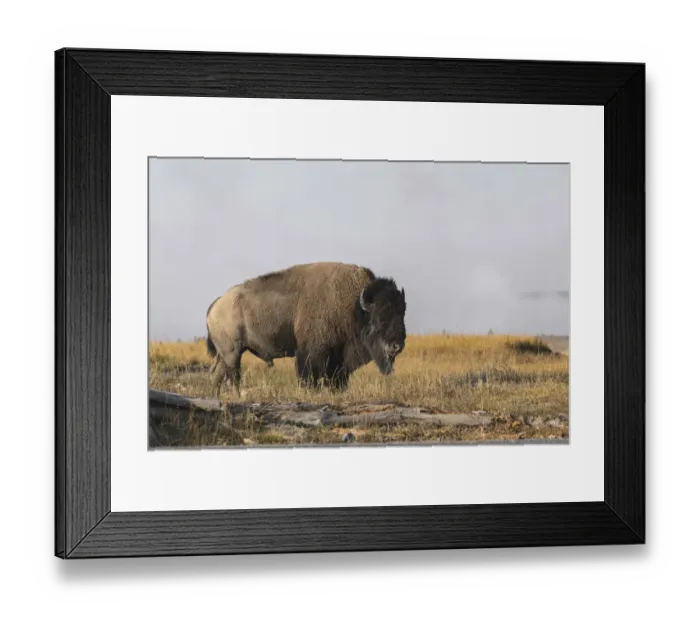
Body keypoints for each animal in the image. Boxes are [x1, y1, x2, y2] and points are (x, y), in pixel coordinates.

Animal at [205, 262, 407, 397]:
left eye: (402, 313)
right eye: (380, 318)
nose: (397, 345)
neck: (355, 306)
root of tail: (216, 304)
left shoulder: (338, 360)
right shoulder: (311, 354)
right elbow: (309, 378)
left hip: (226, 354)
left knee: (217, 374)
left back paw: (215, 397)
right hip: (233, 353)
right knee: (232, 376)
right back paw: (236, 397)